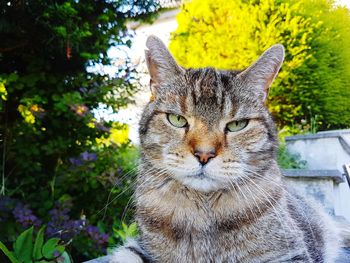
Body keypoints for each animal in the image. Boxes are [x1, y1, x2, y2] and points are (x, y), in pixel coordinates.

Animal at [108, 35, 340, 263]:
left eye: (237, 125)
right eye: (177, 120)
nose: (204, 154)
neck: (203, 214)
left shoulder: (292, 253)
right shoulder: (139, 248)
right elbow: (126, 254)